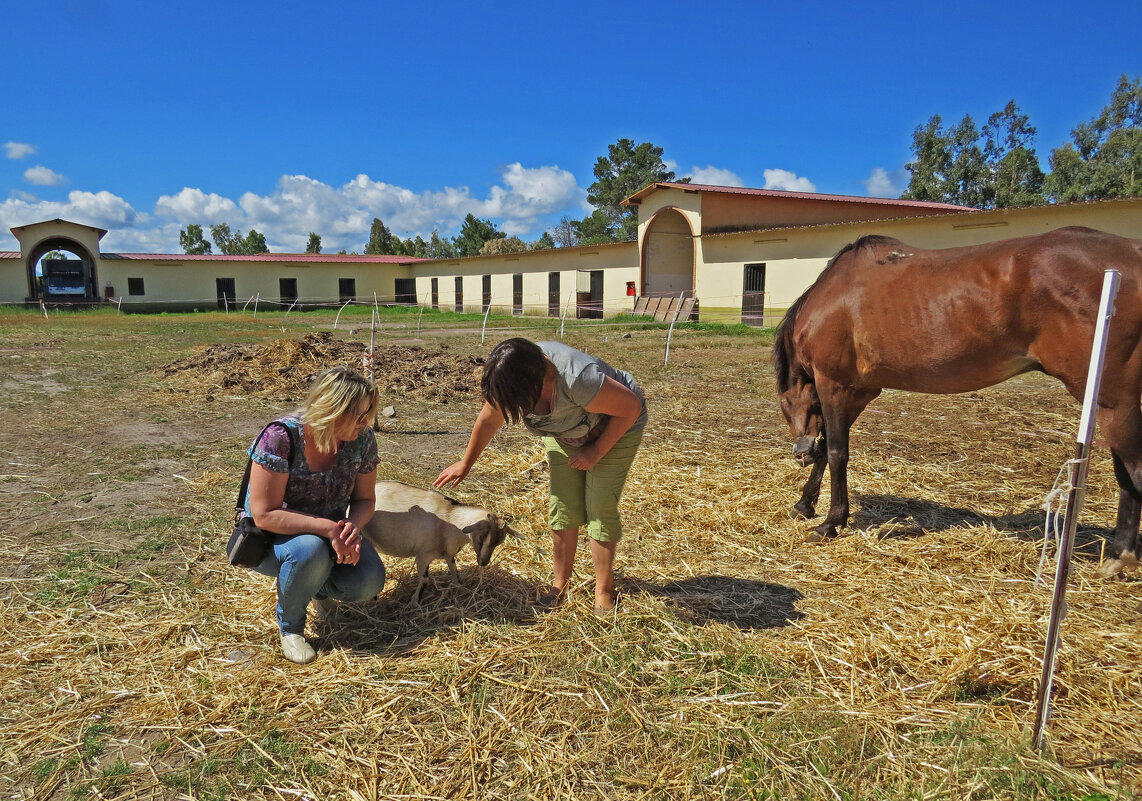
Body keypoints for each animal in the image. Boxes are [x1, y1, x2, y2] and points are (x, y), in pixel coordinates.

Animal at [776, 225, 1142, 569]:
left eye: (785, 405)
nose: (800, 453)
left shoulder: (834, 387)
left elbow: (836, 453)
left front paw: (830, 522)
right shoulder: (858, 393)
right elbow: (828, 449)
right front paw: (804, 505)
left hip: (1113, 402)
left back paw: (1122, 557)